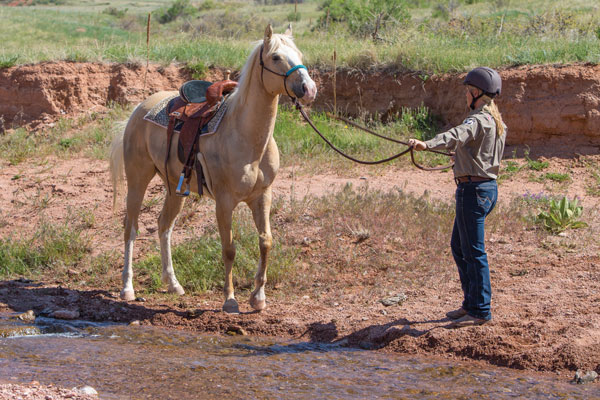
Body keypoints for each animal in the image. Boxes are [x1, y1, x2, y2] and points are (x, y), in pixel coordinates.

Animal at [108, 25, 316, 314]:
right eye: (275, 57)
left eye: (300, 55)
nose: (309, 89)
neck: (245, 136)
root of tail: (139, 109)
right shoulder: (224, 202)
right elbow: (229, 248)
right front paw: (230, 300)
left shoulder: (263, 196)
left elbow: (266, 241)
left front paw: (258, 297)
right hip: (138, 178)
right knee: (131, 227)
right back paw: (127, 288)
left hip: (174, 188)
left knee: (164, 225)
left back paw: (173, 283)